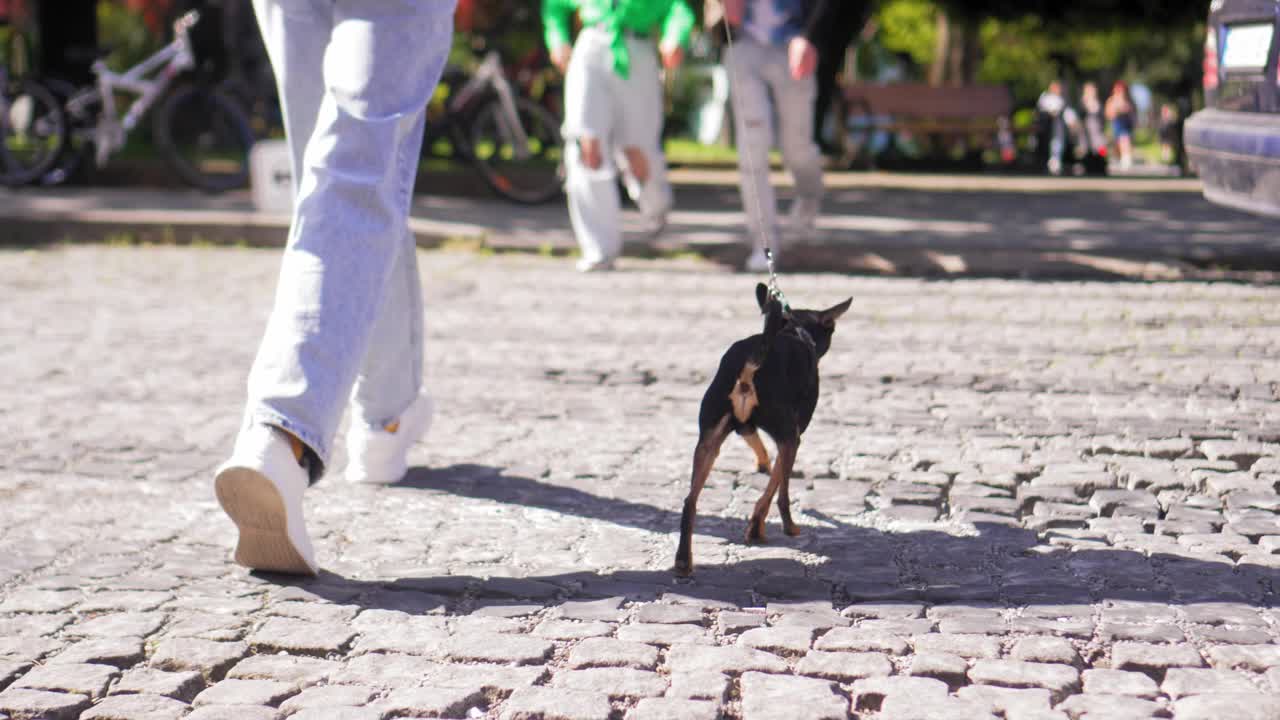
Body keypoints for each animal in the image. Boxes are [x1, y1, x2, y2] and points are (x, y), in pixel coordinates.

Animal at [675, 283, 844, 573]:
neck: (794, 329)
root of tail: (753, 359)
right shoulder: (792, 436)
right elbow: (777, 483)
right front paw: (762, 526)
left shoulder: (744, 427)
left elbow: (762, 452)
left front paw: (762, 464)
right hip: (788, 436)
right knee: (779, 495)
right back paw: (780, 527)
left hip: (708, 441)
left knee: (690, 502)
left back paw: (684, 561)